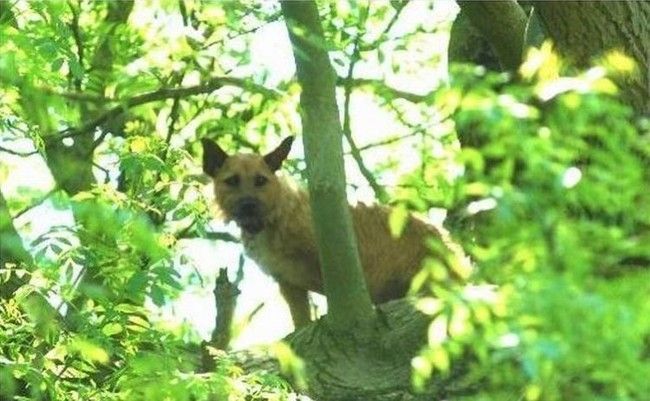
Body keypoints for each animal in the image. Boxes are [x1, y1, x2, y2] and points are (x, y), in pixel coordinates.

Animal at [200, 136, 468, 326]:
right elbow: (300, 321)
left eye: (260, 181)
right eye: (231, 181)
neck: (272, 221)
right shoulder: (288, 284)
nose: (248, 205)